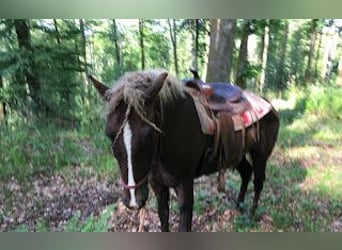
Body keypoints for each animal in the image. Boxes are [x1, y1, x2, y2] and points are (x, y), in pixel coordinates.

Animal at [89, 69, 280, 231]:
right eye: (109, 134)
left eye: (149, 133)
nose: (134, 200)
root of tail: (268, 104)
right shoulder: (158, 186)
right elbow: (163, 219)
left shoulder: (185, 185)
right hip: (235, 153)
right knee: (246, 172)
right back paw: (238, 208)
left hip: (260, 155)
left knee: (258, 181)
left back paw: (250, 215)